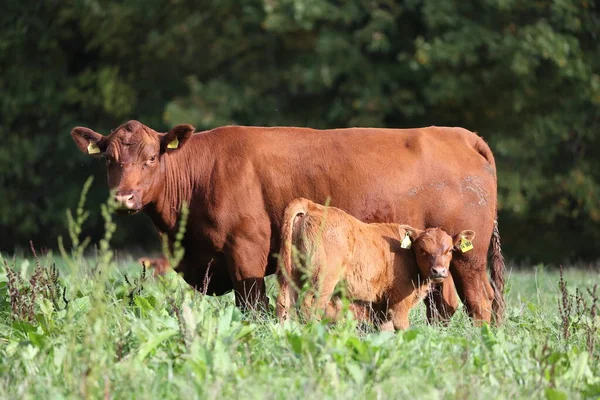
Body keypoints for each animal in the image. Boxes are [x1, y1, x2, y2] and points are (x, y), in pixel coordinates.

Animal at [276, 198, 474, 332]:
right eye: (422, 250)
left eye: (450, 250)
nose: (439, 271)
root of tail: (312, 206)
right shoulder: (399, 304)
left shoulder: (382, 307)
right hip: (323, 280)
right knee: (310, 306)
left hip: (291, 276)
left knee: (285, 303)